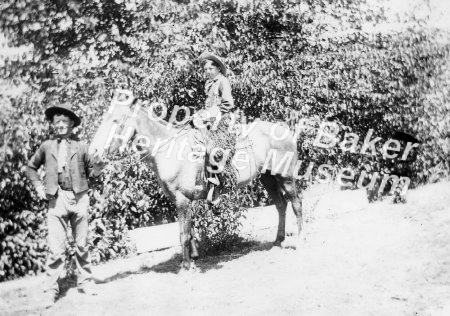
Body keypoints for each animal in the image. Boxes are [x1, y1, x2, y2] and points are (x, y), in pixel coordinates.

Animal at [89, 90, 302, 270]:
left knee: (296, 204)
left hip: (286, 177)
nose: (93, 153)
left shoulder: (182, 199)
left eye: (115, 120)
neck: (169, 150)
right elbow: (189, 230)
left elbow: (183, 234)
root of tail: (287, 131)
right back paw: (278, 241)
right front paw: (193, 258)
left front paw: (186, 266)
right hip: (268, 178)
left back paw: (300, 238)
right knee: (281, 205)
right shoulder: (180, 200)